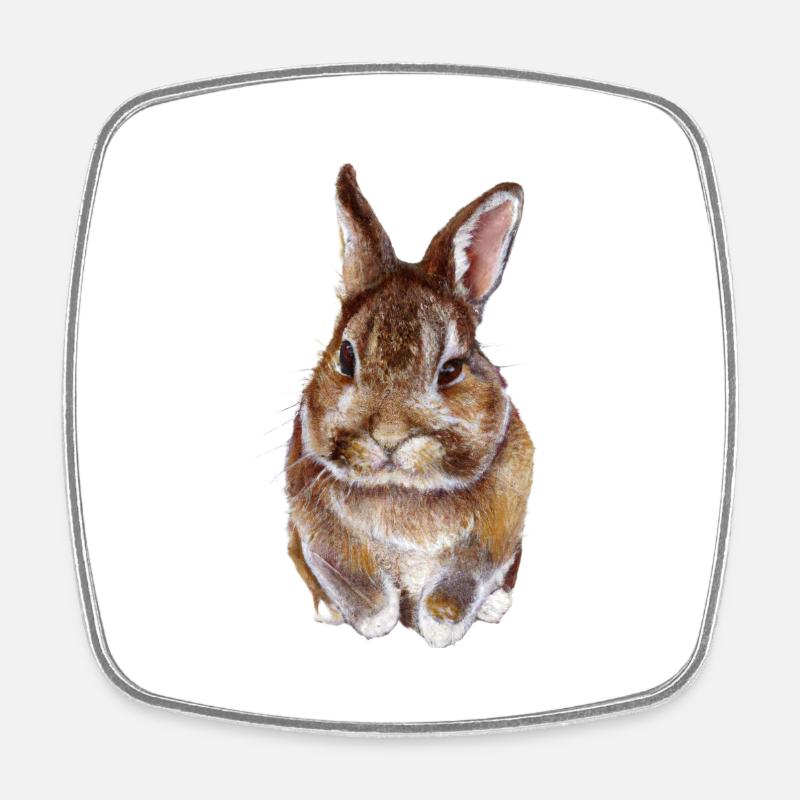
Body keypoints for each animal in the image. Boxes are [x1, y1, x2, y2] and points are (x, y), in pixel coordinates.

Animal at [285, 164, 533, 648]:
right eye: (346, 356)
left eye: (451, 369)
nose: (389, 438)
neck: (403, 491)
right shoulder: (314, 525)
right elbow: (360, 589)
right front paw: (375, 617)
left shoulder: (499, 528)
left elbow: (465, 576)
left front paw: (438, 624)